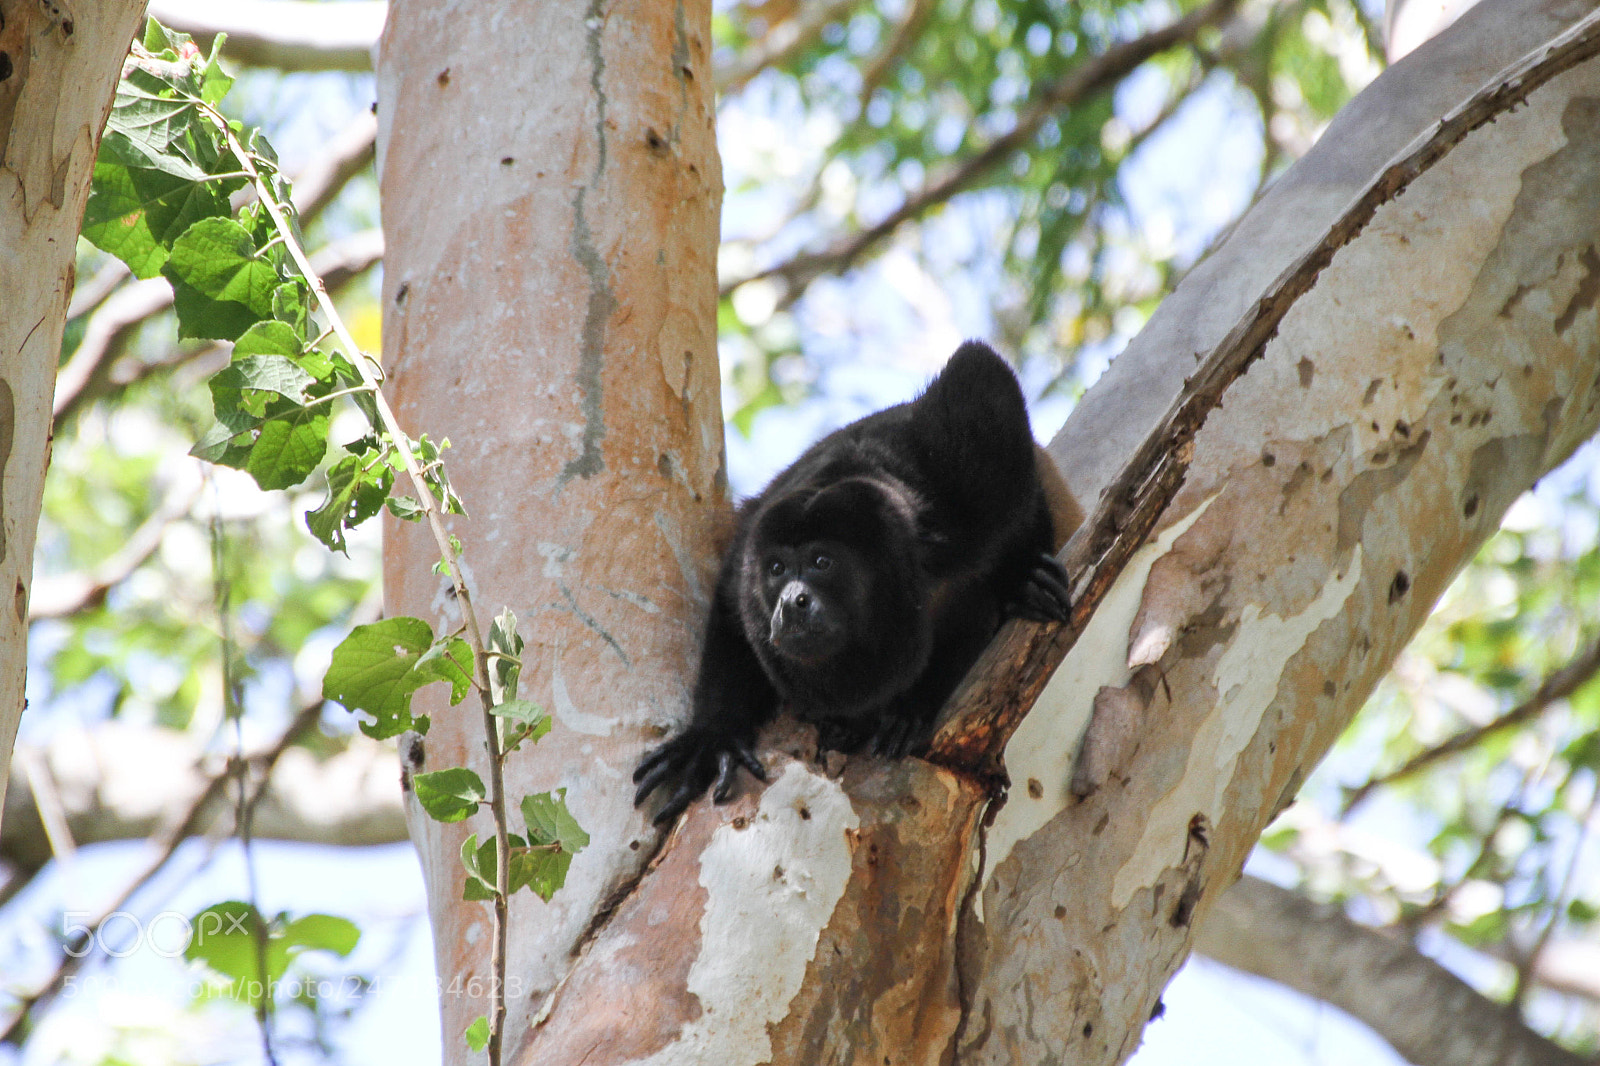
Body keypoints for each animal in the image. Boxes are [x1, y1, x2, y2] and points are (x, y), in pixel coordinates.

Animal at [633, 340, 1077, 825]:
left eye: (822, 562)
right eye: (777, 570)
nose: (791, 602)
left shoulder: (963, 485)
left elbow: (983, 378)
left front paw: (1019, 577)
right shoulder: (747, 552)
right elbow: (731, 614)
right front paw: (714, 735)